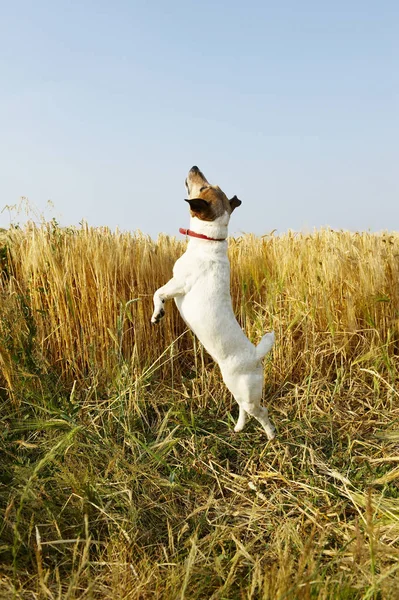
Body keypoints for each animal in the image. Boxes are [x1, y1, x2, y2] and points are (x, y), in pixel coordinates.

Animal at [150, 166, 276, 438]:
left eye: (203, 187)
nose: (194, 166)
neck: (209, 242)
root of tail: (255, 356)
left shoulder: (178, 284)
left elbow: (158, 294)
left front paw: (157, 314)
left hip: (246, 393)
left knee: (261, 413)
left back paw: (272, 435)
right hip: (236, 389)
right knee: (244, 410)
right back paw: (239, 427)